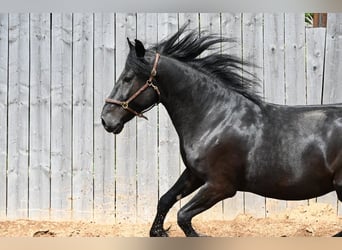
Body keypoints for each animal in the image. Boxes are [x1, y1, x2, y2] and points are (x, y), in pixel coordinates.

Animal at [101, 26, 342, 237]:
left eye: (128, 78)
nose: (106, 119)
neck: (215, 118)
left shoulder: (220, 186)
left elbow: (183, 216)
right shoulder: (195, 175)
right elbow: (166, 200)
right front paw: (158, 232)